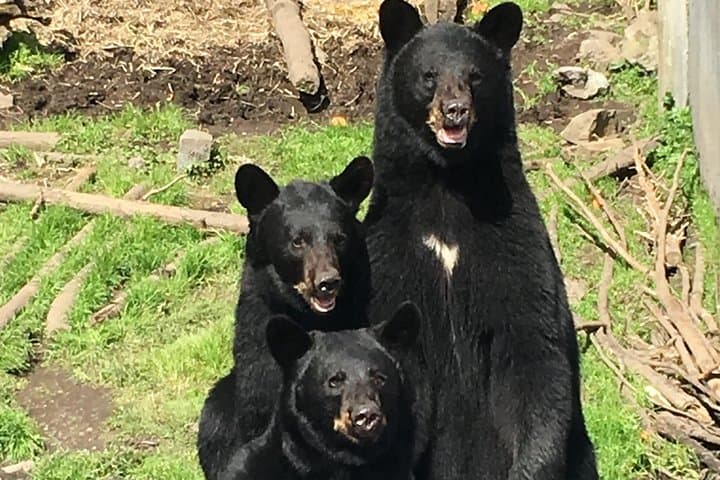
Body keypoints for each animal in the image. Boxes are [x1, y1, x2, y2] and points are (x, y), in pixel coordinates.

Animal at [362, 1, 599, 479]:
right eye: (429, 75)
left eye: (475, 76)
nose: (455, 111)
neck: (449, 189)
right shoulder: (390, 252)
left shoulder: (513, 241)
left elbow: (531, 351)